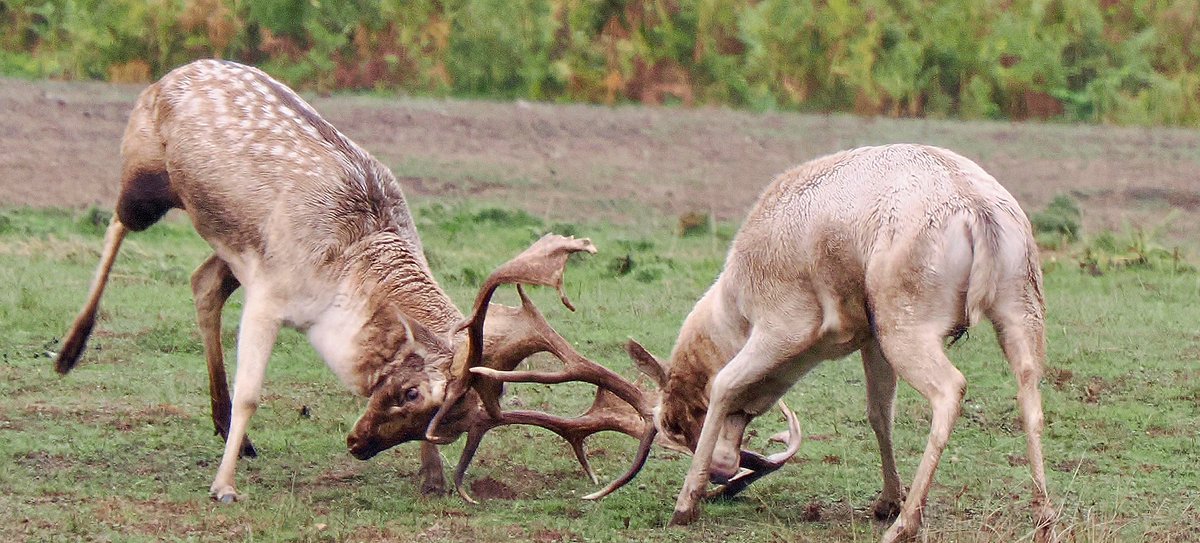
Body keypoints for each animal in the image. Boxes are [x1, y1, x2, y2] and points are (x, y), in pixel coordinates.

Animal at [53, 59, 666, 504]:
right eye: (412, 391)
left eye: (444, 425)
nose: (356, 444)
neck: (342, 278)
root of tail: (169, 74)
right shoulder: (271, 291)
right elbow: (254, 390)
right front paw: (223, 488)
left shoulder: (261, 271)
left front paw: (433, 478)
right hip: (146, 173)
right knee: (116, 222)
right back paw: (68, 352)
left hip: (229, 249)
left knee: (202, 280)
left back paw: (231, 432)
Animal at [588, 144, 1056, 542]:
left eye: (672, 423)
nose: (723, 472)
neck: (735, 308)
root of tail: (976, 207)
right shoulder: (869, 337)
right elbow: (878, 412)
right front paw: (886, 501)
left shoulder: (786, 323)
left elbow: (724, 384)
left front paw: (684, 505)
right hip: (1021, 305)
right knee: (1030, 392)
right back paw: (1043, 518)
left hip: (907, 320)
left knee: (950, 389)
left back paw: (905, 526)